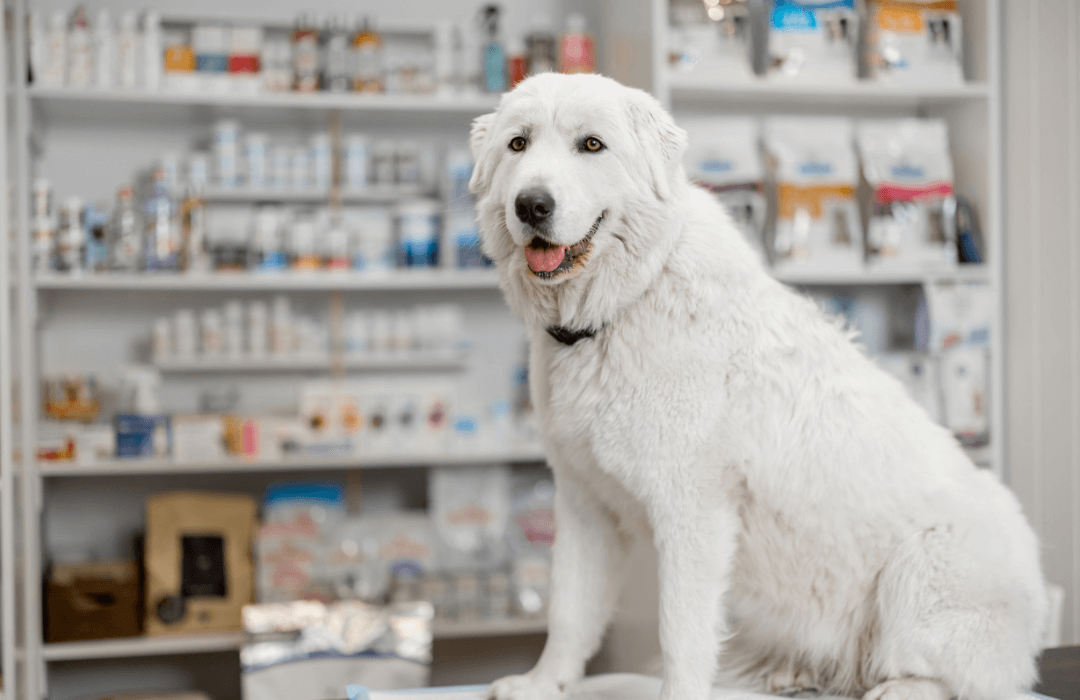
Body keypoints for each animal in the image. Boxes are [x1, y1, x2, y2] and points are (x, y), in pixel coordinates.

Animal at [468, 72, 1049, 700]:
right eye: (518, 144)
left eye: (591, 145)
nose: (532, 204)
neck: (626, 303)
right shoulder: (584, 505)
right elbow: (570, 610)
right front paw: (542, 682)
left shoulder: (692, 511)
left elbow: (680, 632)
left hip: (921, 568)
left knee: (959, 678)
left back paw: (897, 688)